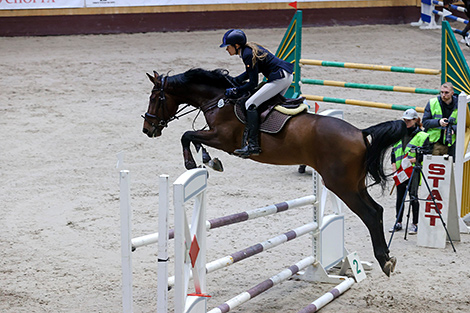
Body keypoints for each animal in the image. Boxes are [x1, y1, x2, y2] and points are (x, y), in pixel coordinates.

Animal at [141, 68, 406, 276]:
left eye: (155, 97)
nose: (147, 129)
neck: (217, 99)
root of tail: (361, 133)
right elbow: (192, 137)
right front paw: (207, 158)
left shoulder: (222, 138)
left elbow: (186, 135)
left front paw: (195, 163)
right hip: (354, 184)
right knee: (378, 210)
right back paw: (388, 258)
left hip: (341, 185)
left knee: (369, 214)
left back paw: (384, 261)